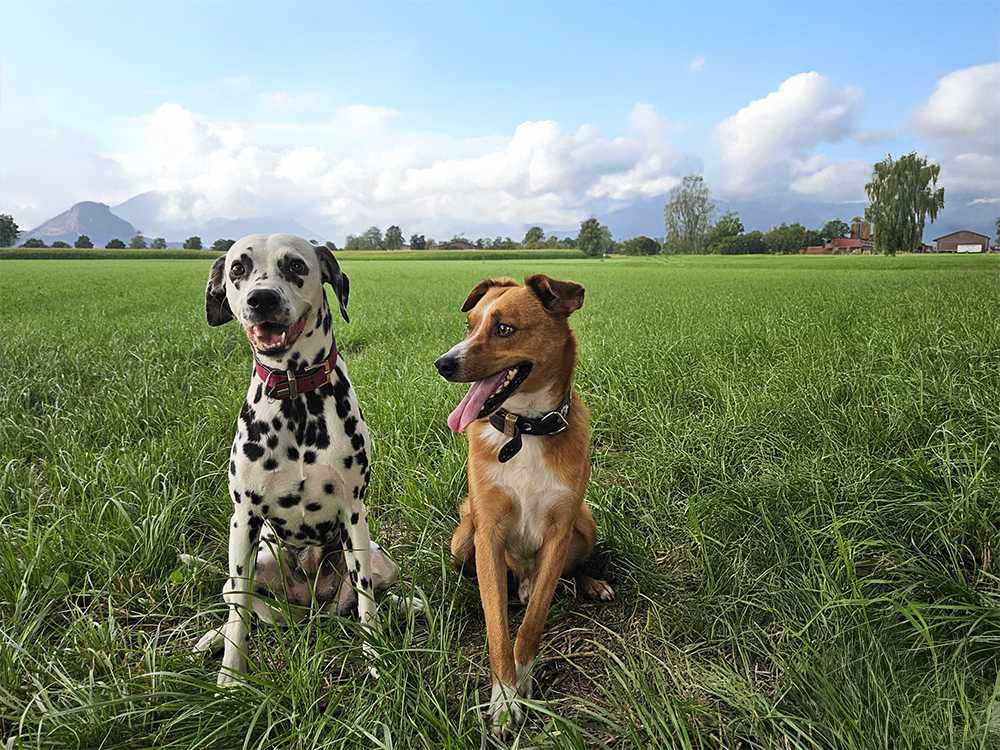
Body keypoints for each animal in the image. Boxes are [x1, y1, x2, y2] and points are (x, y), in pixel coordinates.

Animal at [193, 235, 416, 688]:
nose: (262, 299)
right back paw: (212, 638)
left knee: (371, 598)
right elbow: (240, 612)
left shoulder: (353, 515)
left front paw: (377, 659)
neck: (295, 396)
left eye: (296, 265)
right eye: (238, 268)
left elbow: (367, 602)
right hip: (254, 562)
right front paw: (230, 677)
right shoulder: (243, 519)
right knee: (243, 604)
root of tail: (310, 605)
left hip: (381, 560)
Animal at [436, 274, 612, 736]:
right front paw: (503, 697)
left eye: (504, 328)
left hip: (586, 523)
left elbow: (531, 624)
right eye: (469, 326)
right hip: (464, 533)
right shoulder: (490, 534)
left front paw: (524, 680)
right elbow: (499, 628)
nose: (443, 363)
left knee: (567, 571)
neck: (524, 431)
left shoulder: (558, 531)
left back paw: (592, 583)